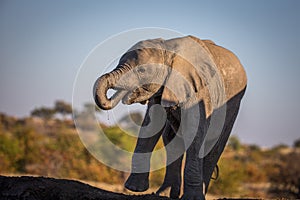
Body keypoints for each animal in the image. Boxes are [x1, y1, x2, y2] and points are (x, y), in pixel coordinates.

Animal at [93, 36, 246, 200]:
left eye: (142, 70)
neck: (168, 48)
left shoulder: (198, 90)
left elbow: (194, 132)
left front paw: (192, 199)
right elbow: (151, 126)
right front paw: (134, 188)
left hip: (233, 105)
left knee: (215, 147)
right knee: (171, 139)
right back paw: (164, 194)